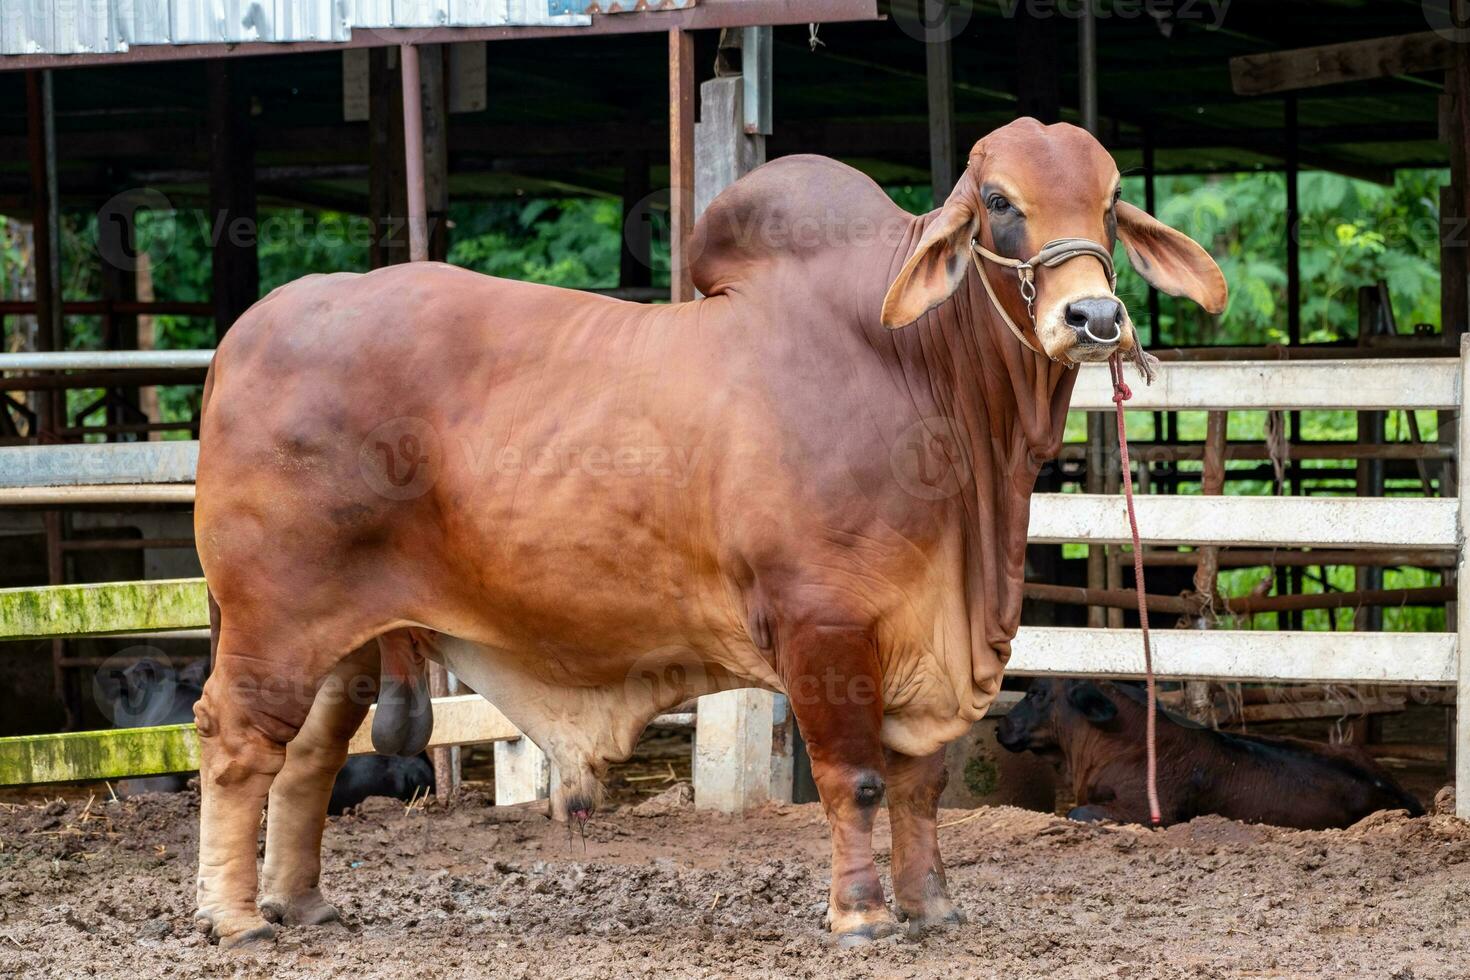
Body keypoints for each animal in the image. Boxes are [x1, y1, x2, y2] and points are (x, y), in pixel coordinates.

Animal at [195, 116, 1228, 952]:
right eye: (1000, 201)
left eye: (1111, 201)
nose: (1093, 316)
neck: (925, 382)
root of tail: (247, 332)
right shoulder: (826, 629)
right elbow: (857, 780)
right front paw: (862, 917)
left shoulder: (929, 640)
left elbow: (920, 785)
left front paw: (932, 907)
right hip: (271, 619)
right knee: (237, 741)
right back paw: (235, 919)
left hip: (343, 637)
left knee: (311, 753)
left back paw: (301, 902)